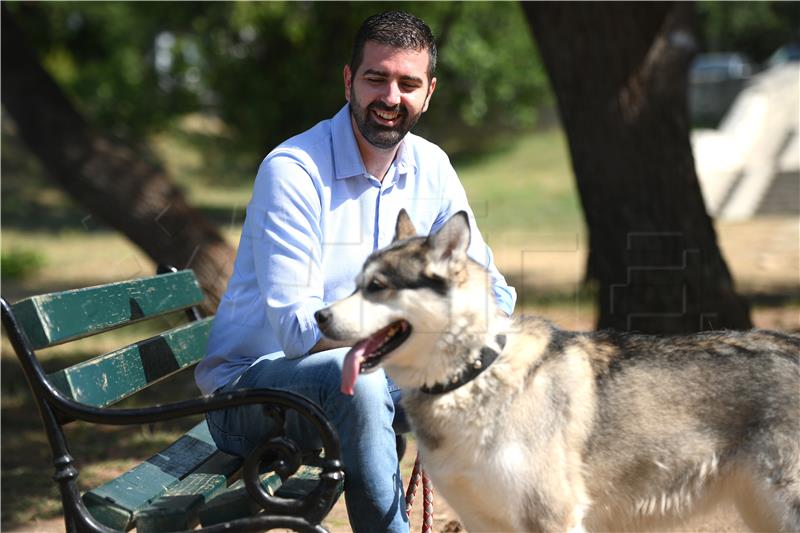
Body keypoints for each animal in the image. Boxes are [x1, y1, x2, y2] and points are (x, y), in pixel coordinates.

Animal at [316, 210, 800, 528]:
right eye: (357, 285)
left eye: (378, 287)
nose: (319, 317)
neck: (473, 375)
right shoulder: (481, 520)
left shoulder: (551, 517)